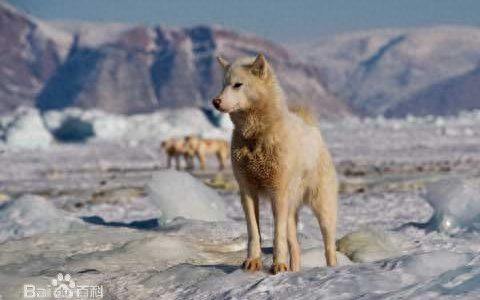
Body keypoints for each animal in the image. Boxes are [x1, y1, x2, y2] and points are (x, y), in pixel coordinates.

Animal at [214, 52, 338, 274]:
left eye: (237, 85)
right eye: (223, 85)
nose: (215, 101)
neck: (256, 137)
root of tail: (313, 129)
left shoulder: (277, 193)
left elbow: (276, 235)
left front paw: (278, 265)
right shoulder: (247, 192)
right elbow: (254, 232)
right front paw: (252, 261)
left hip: (323, 208)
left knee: (329, 248)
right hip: (291, 211)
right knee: (295, 248)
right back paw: (294, 269)